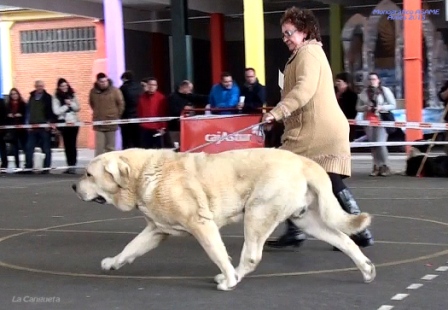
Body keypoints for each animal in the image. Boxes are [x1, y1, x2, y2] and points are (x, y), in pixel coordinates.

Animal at [72, 148, 374, 290]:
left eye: (88, 174)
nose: (74, 187)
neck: (141, 175)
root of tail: (305, 162)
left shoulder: (201, 223)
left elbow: (217, 253)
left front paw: (229, 279)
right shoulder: (156, 230)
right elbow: (130, 248)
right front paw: (113, 262)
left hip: (257, 211)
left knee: (251, 256)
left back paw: (233, 277)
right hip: (307, 220)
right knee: (345, 240)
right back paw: (366, 268)